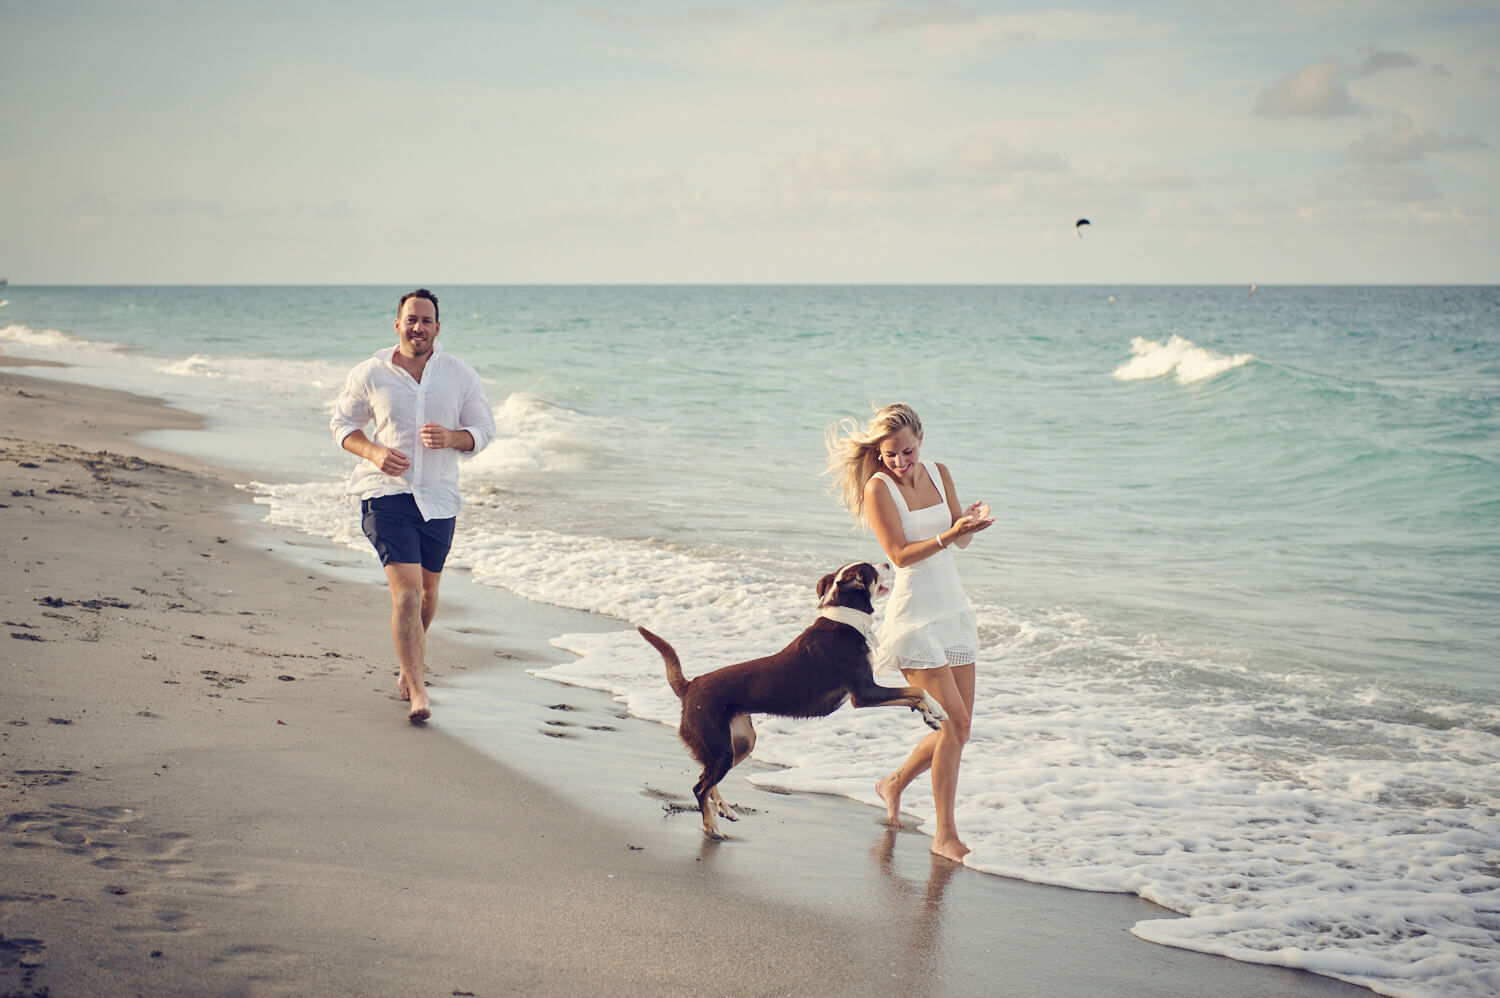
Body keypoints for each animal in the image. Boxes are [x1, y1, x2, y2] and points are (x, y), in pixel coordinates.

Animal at [636, 564, 942, 834]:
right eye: (873, 570)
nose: (889, 563)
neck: (845, 620)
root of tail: (690, 686)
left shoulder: (869, 692)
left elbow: (912, 697)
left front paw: (929, 716)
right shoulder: (864, 693)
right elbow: (916, 691)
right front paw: (937, 708)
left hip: (740, 743)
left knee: (706, 780)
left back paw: (725, 809)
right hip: (722, 748)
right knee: (700, 787)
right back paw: (711, 825)